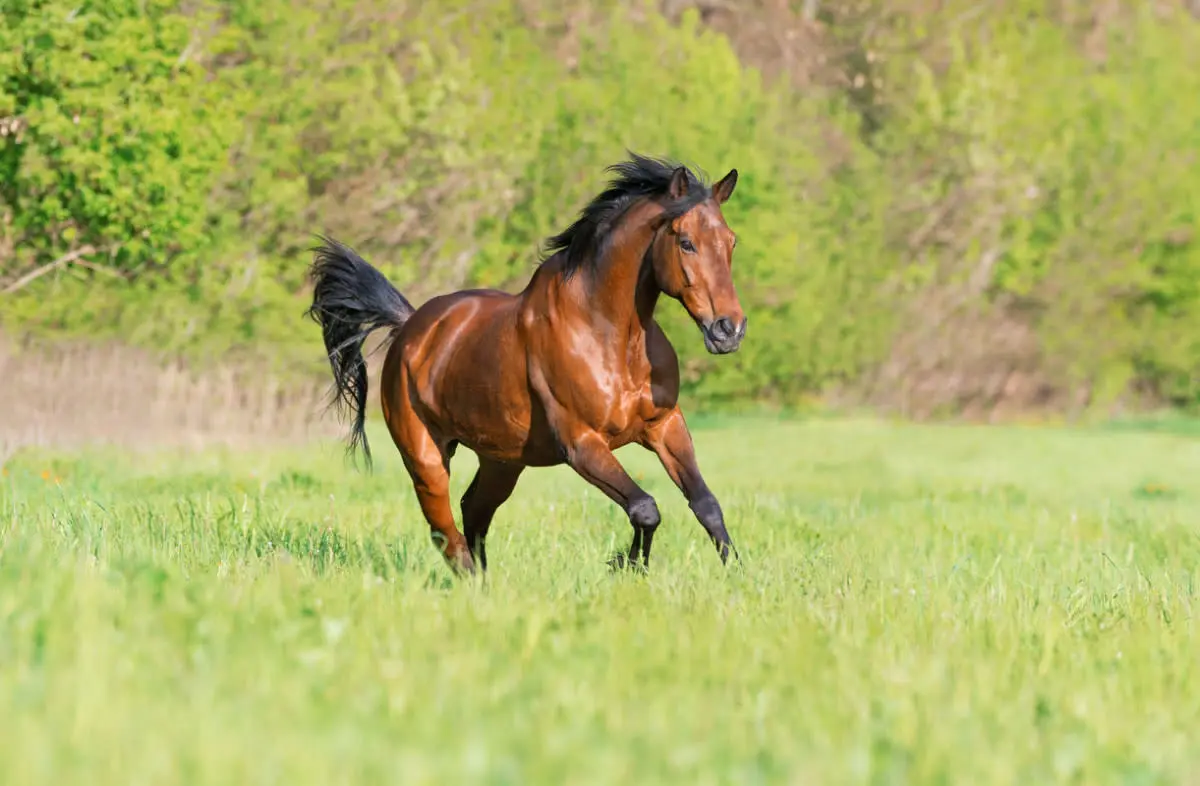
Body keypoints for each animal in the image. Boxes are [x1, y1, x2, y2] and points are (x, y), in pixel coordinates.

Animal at [306, 153, 747, 575]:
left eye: (730, 242)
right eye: (686, 242)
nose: (729, 329)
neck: (610, 335)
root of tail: (410, 329)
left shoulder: (665, 425)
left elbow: (705, 504)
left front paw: (737, 576)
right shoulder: (582, 444)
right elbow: (645, 508)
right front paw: (627, 565)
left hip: (502, 460)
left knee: (473, 510)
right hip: (426, 458)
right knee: (446, 532)